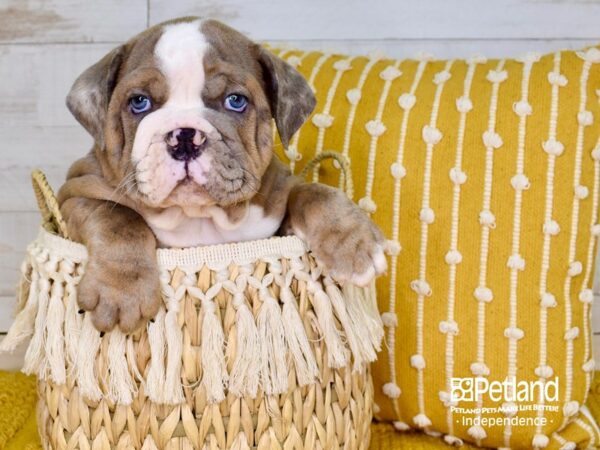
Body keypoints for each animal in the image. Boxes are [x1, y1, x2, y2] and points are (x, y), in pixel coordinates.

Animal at [58, 17, 386, 332]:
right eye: (139, 102)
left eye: (235, 101)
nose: (185, 137)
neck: (198, 217)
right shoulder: (76, 193)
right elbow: (119, 218)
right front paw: (121, 290)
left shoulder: (279, 198)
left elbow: (312, 192)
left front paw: (352, 243)